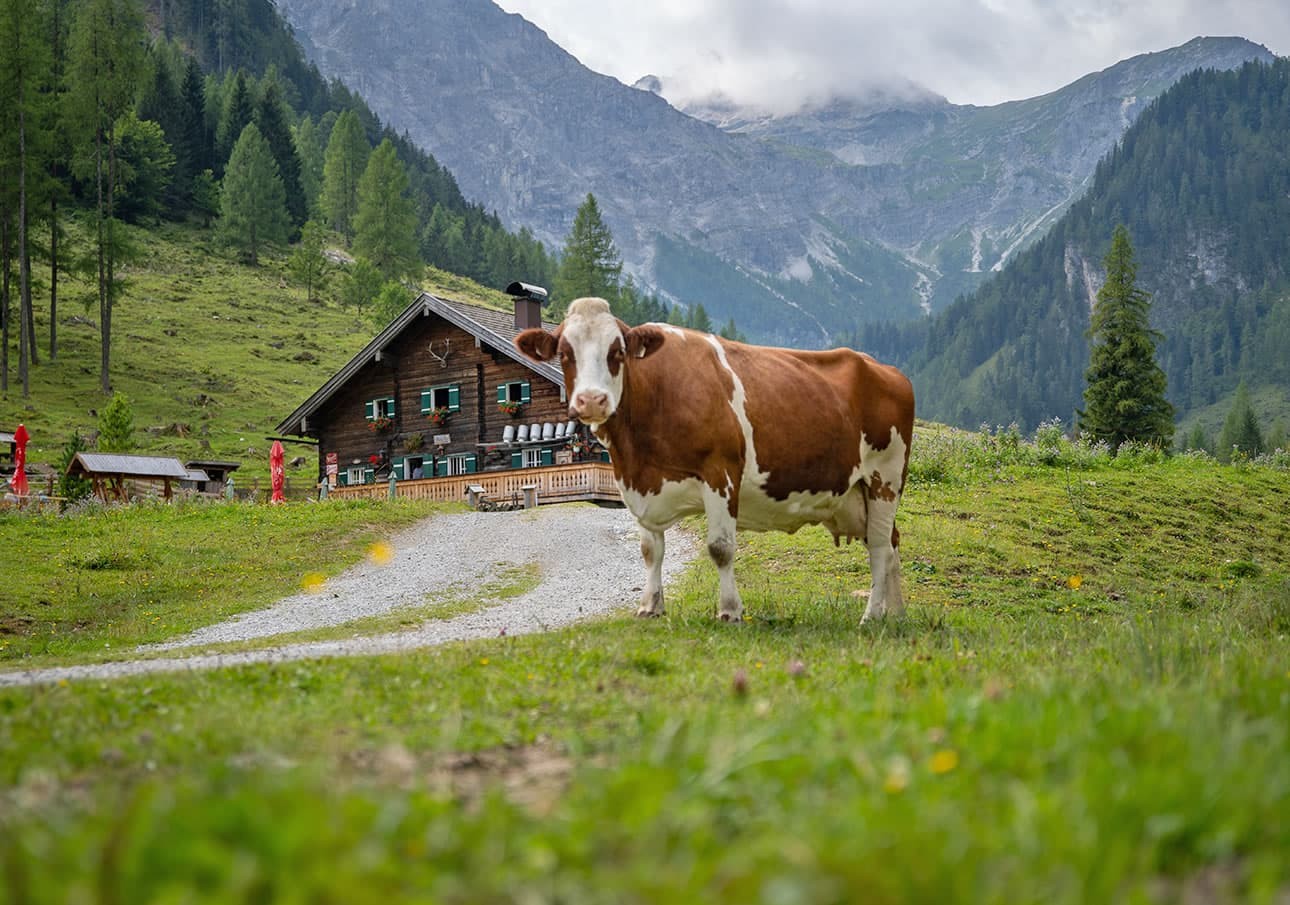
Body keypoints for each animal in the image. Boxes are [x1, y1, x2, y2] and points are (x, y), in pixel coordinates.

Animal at [516, 297, 915, 623]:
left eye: (618, 352)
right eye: (565, 354)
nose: (592, 400)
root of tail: (887, 370)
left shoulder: (720, 473)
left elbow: (721, 549)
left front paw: (730, 611)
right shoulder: (639, 484)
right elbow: (650, 551)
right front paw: (650, 607)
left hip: (885, 477)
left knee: (880, 547)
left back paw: (870, 616)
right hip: (858, 494)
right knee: (891, 543)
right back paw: (895, 615)